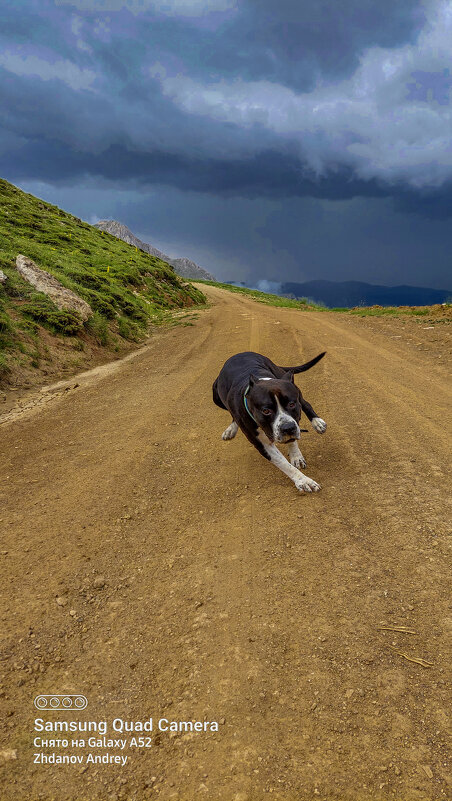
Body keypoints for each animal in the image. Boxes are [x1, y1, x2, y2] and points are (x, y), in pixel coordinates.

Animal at [214, 352, 326, 490]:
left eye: (292, 404)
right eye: (266, 411)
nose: (288, 428)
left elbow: (292, 440)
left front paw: (296, 456)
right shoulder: (262, 444)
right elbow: (283, 464)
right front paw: (303, 480)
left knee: (306, 404)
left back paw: (317, 422)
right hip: (216, 396)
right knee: (231, 413)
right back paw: (231, 428)